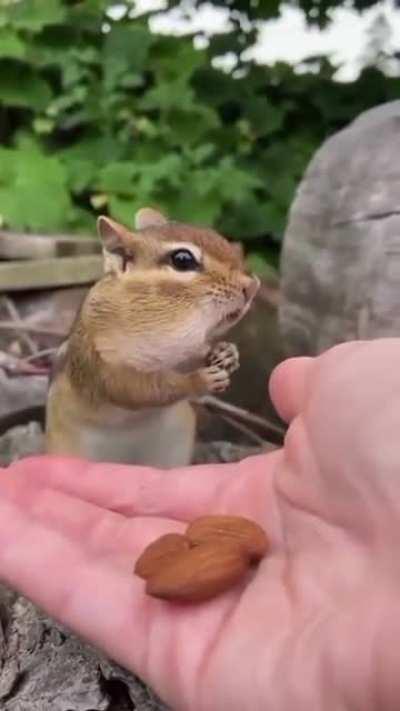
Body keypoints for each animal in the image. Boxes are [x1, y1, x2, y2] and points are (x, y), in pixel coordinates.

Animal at [45, 208, 260, 468]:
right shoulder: (104, 363)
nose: (253, 286)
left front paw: (227, 353)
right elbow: (140, 388)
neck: (167, 323)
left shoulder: (185, 349)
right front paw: (199, 380)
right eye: (182, 260)